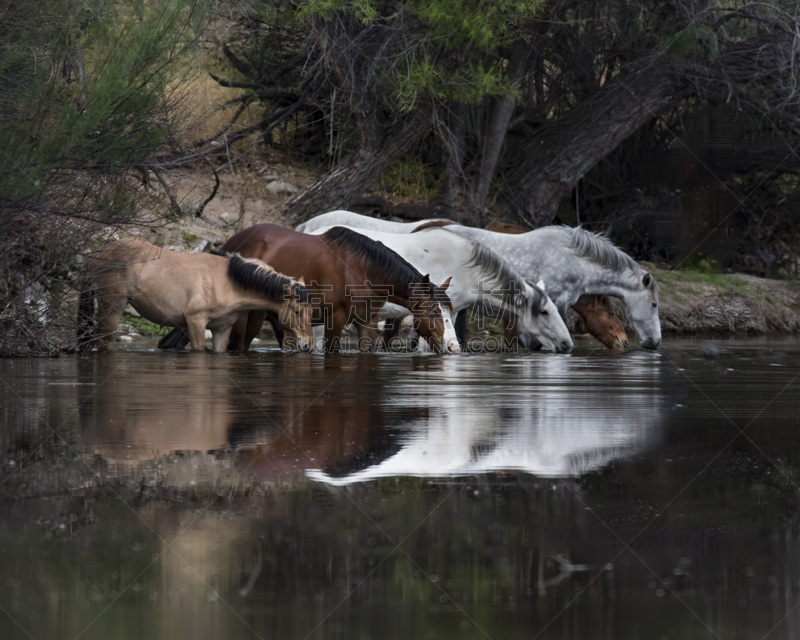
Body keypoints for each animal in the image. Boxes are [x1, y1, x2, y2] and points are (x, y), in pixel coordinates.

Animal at [77, 238, 316, 352]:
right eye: (297, 311)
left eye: (311, 311)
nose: (307, 346)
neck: (227, 282)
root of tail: (96, 255)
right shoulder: (195, 322)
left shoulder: (222, 329)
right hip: (112, 309)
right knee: (104, 341)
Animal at [160, 224, 460, 356]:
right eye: (434, 312)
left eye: (450, 312)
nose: (454, 346)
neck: (363, 270)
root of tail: (230, 243)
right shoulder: (335, 320)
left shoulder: (367, 321)